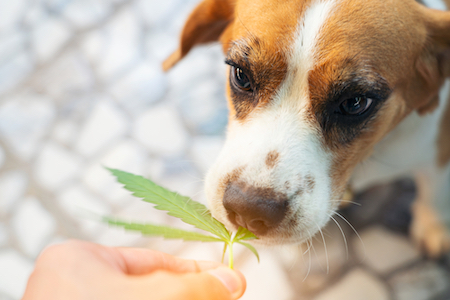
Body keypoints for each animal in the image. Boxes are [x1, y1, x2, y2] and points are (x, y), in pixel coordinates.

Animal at [163, 0, 450, 258]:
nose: (248, 210)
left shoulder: (437, 156)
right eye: (241, 75)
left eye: (355, 103)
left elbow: (434, 194)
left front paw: (434, 227)